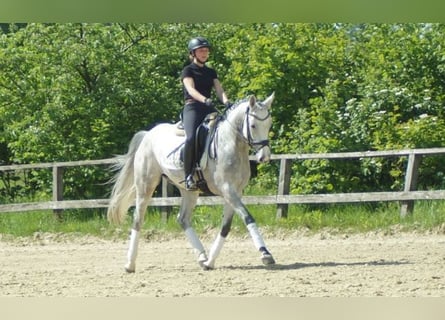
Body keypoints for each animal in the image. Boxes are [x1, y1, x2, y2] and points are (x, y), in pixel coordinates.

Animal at [106, 92, 274, 272]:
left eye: (269, 125)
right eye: (253, 126)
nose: (264, 157)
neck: (230, 144)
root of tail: (148, 134)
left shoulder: (235, 192)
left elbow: (226, 227)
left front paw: (210, 262)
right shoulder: (227, 190)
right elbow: (248, 218)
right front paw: (266, 254)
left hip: (189, 191)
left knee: (183, 219)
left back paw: (202, 256)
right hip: (145, 185)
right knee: (138, 219)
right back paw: (130, 264)